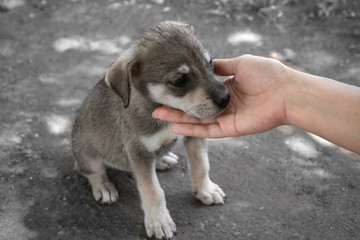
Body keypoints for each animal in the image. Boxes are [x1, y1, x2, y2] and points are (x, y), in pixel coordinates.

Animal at [71, 21, 231, 239]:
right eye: (179, 80)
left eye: (211, 63)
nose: (226, 99)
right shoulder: (138, 152)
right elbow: (153, 190)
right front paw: (159, 222)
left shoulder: (193, 134)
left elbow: (201, 164)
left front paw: (205, 190)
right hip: (87, 155)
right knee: (90, 170)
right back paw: (103, 186)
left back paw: (163, 160)